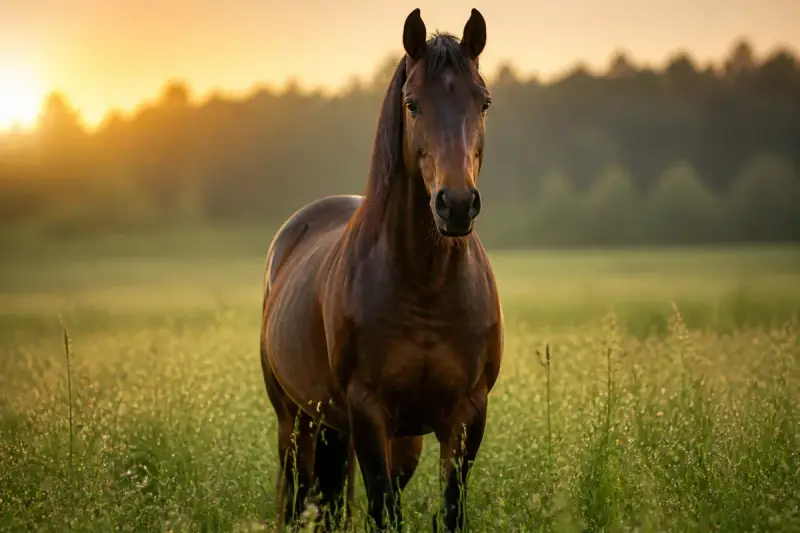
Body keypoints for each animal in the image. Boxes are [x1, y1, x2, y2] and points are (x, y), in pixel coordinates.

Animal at [259, 8, 503, 532]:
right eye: (412, 104)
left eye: (484, 101)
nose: (455, 205)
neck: (425, 284)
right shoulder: (368, 413)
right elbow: (384, 510)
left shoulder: (466, 415)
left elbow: (450, 510)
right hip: (296, 421)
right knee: (299, 498)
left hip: (382, 436)